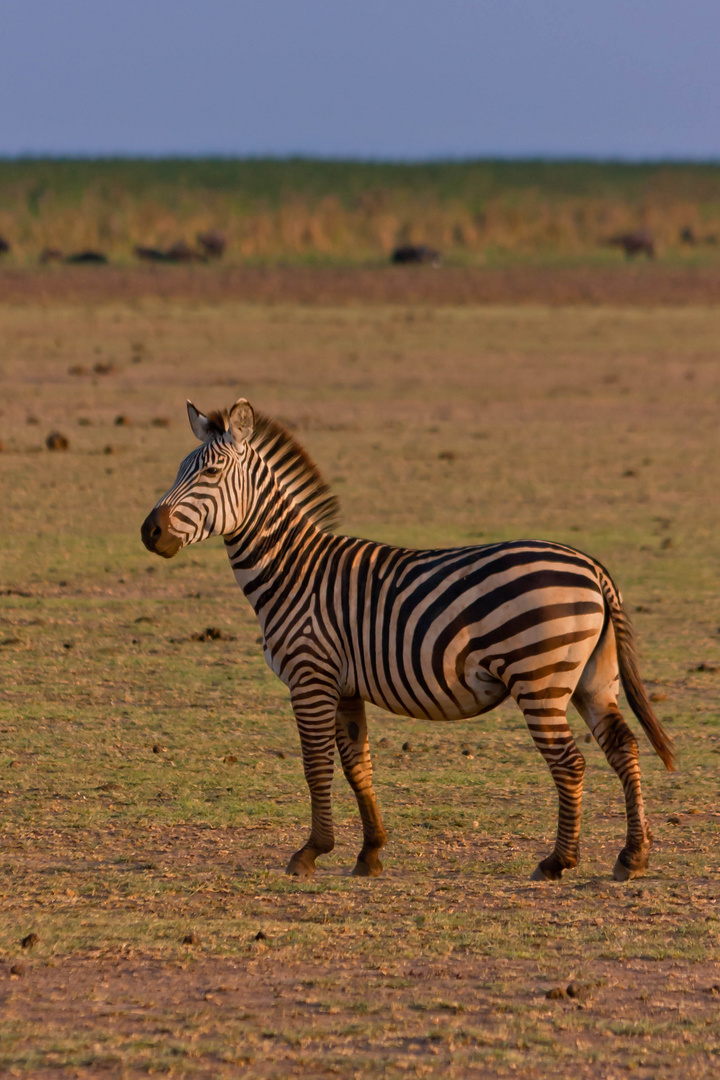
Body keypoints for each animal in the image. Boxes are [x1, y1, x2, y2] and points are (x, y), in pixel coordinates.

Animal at [142, 401, 677, 881]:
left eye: (211, 473)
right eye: (179, 471)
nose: (150, 532)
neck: (293, 570)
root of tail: (592, 567)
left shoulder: (310, 675)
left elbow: (316, 764)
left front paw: (310, 853)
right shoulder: (345, 687)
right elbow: (358, 765)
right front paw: (370, 853)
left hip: (540, 679)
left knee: (571, 763)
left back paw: (557, 862)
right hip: (592, 679)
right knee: (623, 748)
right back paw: (633, 856)